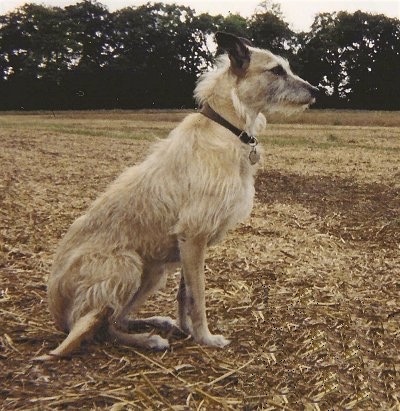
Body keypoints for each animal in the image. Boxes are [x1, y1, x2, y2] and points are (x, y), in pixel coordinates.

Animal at [34, 32, 318, 360]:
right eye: (276, 70)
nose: (316, 91)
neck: (226, 127)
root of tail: (58, 315)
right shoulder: (193, 235)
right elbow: (199, 295)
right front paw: (205, 337)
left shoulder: (189, 241)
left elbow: (185, 294)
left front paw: (187, 330)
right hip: (127, 265)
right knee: (102, 329)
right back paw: (148, 340)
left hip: (154, 271)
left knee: (116, 318)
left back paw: (158, 323)